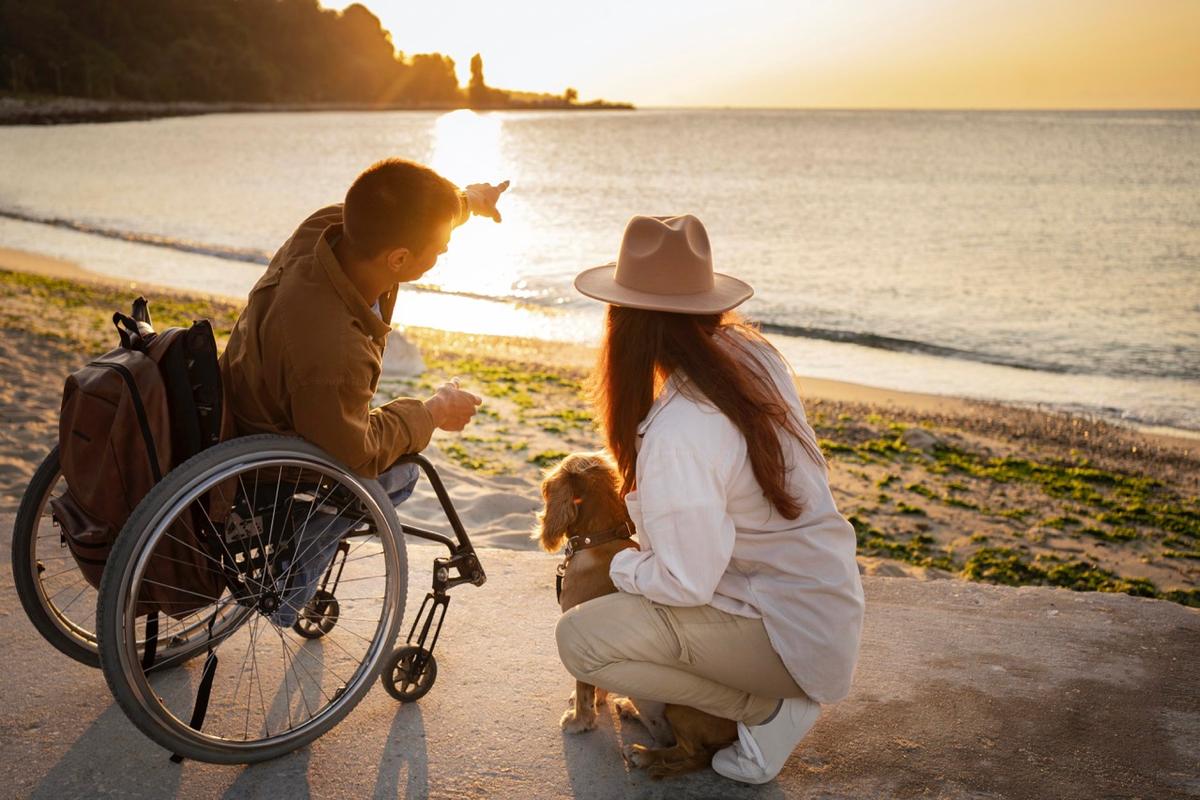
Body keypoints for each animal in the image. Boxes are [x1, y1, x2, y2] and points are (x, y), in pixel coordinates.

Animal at [540, 453, 734, 777]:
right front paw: (598, 701)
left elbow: (584, 688)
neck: (600, 538)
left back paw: (644, 754)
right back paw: (630, 710)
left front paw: (579, 721)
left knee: (691, 753)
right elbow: (595, 683)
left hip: (679, 708)